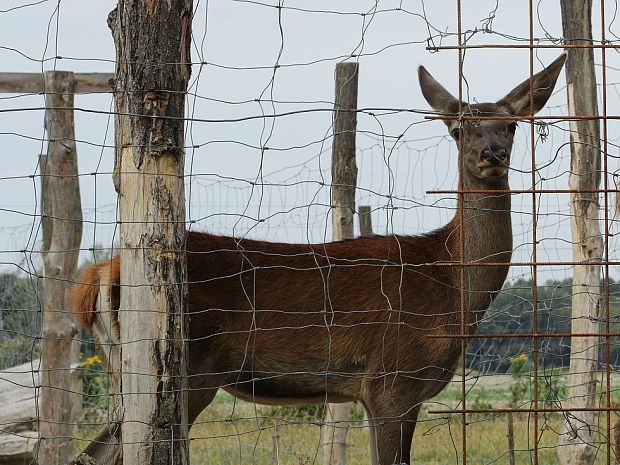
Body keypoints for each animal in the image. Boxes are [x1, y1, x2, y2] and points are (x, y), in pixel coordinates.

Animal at [72, 52, 568, 462]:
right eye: (458, 128)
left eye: (511, 126)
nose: (492, 153)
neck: (449, 283)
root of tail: (97, 276)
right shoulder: (392, 380)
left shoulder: (382, 392)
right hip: (181, 367)